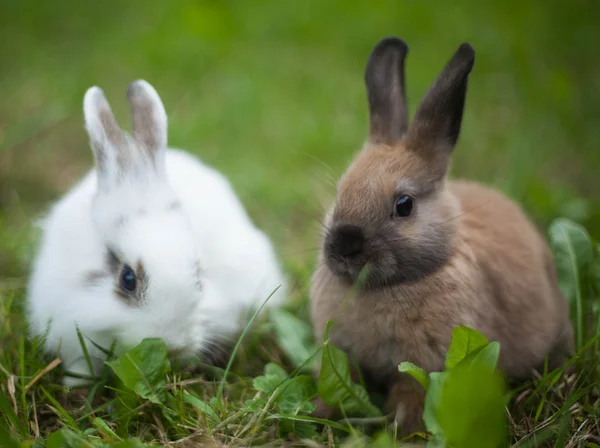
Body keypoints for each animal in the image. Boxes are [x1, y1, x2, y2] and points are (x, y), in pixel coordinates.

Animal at [310, 36, 572, 432]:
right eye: (341, 191)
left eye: (404, 205)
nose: (344, 247)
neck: (388, 287)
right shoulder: (341, 354)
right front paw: (319, 413)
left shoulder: (423, 364)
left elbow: (410, 395)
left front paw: (403, 429)